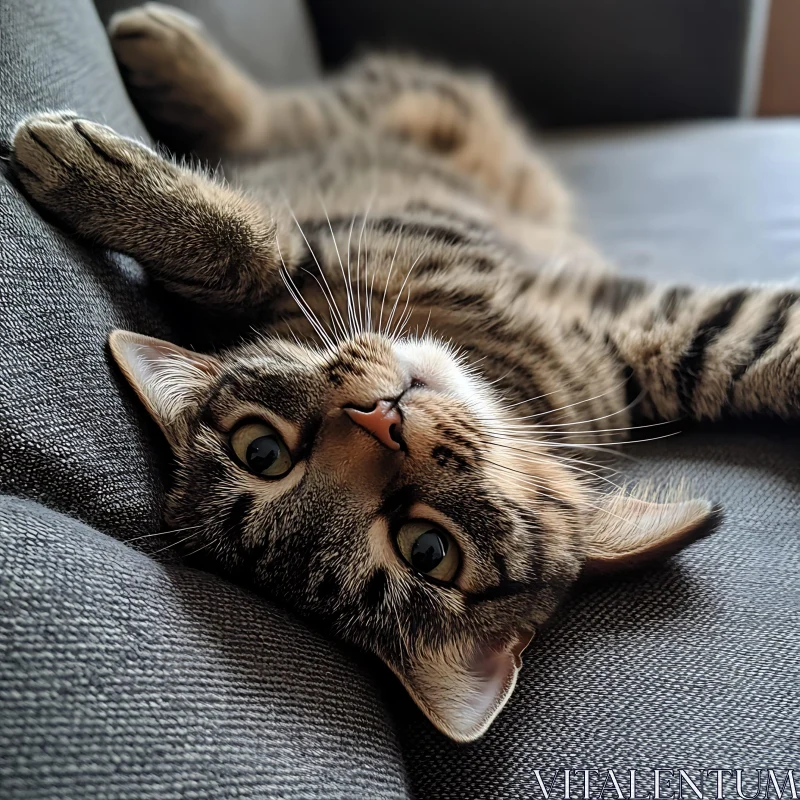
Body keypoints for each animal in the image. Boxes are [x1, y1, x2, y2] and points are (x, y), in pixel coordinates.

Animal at [9, 3, 796, 744]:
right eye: (262, 452)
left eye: (429, 549)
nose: (380, 421)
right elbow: (247, 256)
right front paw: (101, 180)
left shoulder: (656, 332)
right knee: (289, 119)